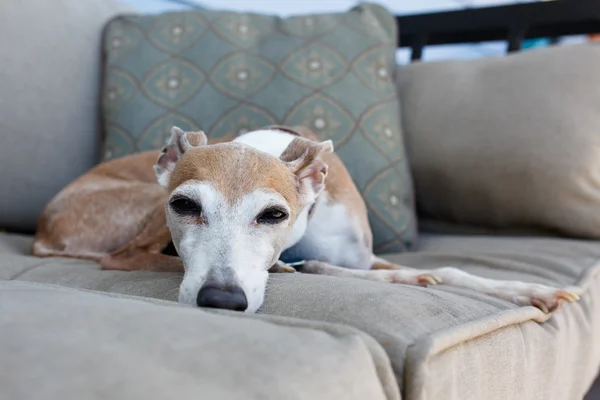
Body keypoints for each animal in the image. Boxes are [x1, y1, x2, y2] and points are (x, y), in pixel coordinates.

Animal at [32, 126, 580, 314]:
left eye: (274, 213)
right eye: (185, 206)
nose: (222, 300)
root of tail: (41, 231)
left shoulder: (361, 256)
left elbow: (448, 269)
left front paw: (528, 289)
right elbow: (315, 266)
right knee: (122, 256)